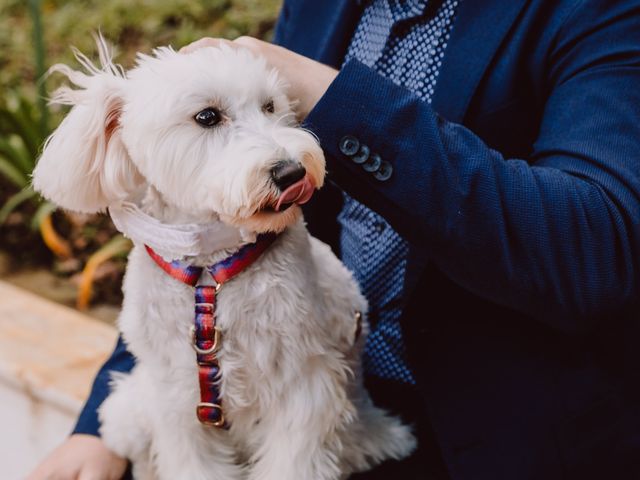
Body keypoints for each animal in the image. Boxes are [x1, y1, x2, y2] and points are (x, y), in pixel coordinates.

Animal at [32, 38, 418, 480]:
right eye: (207, 116)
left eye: (270, 106)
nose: (292, 171)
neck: (209, 270)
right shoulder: (176, 398)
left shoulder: (303, 384)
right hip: (127, 411)